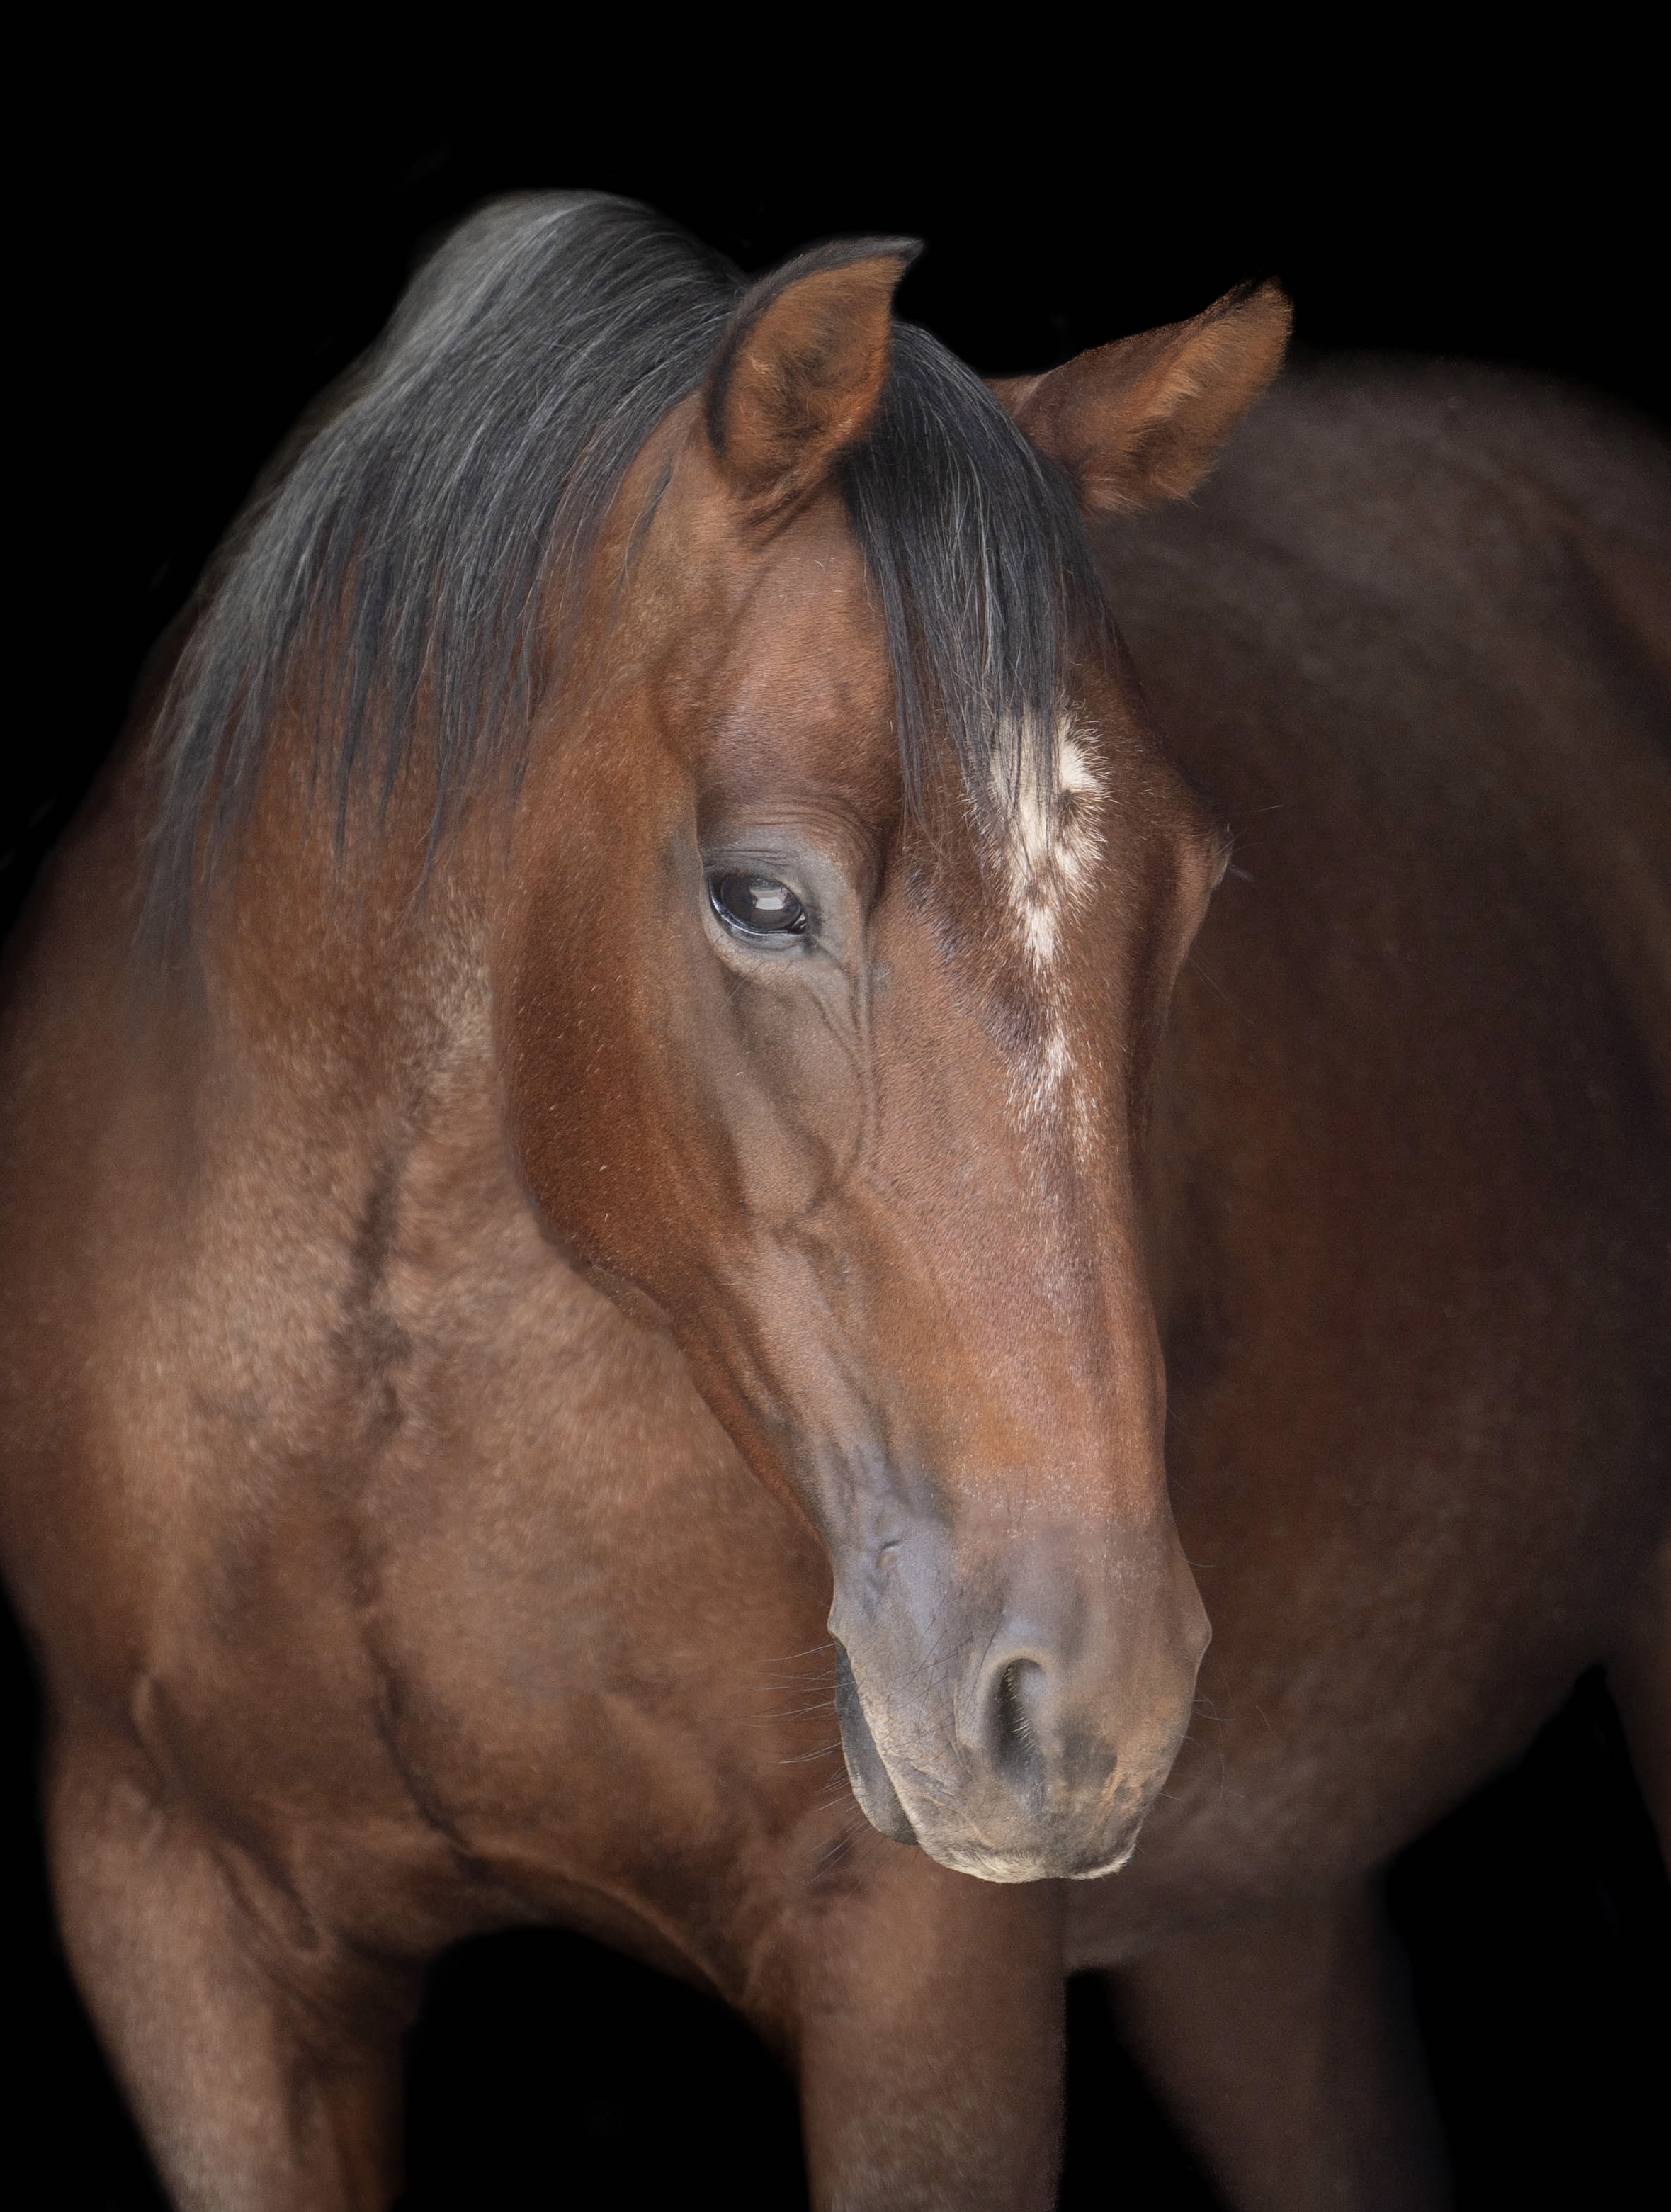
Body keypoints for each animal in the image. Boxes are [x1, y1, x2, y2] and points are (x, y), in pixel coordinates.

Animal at [1, 192, 1665, 2211]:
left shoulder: (923, 1967)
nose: (1082, 1701)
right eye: (760, 897)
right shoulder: (184, 1930)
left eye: (1187, 894)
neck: (377, 1390)